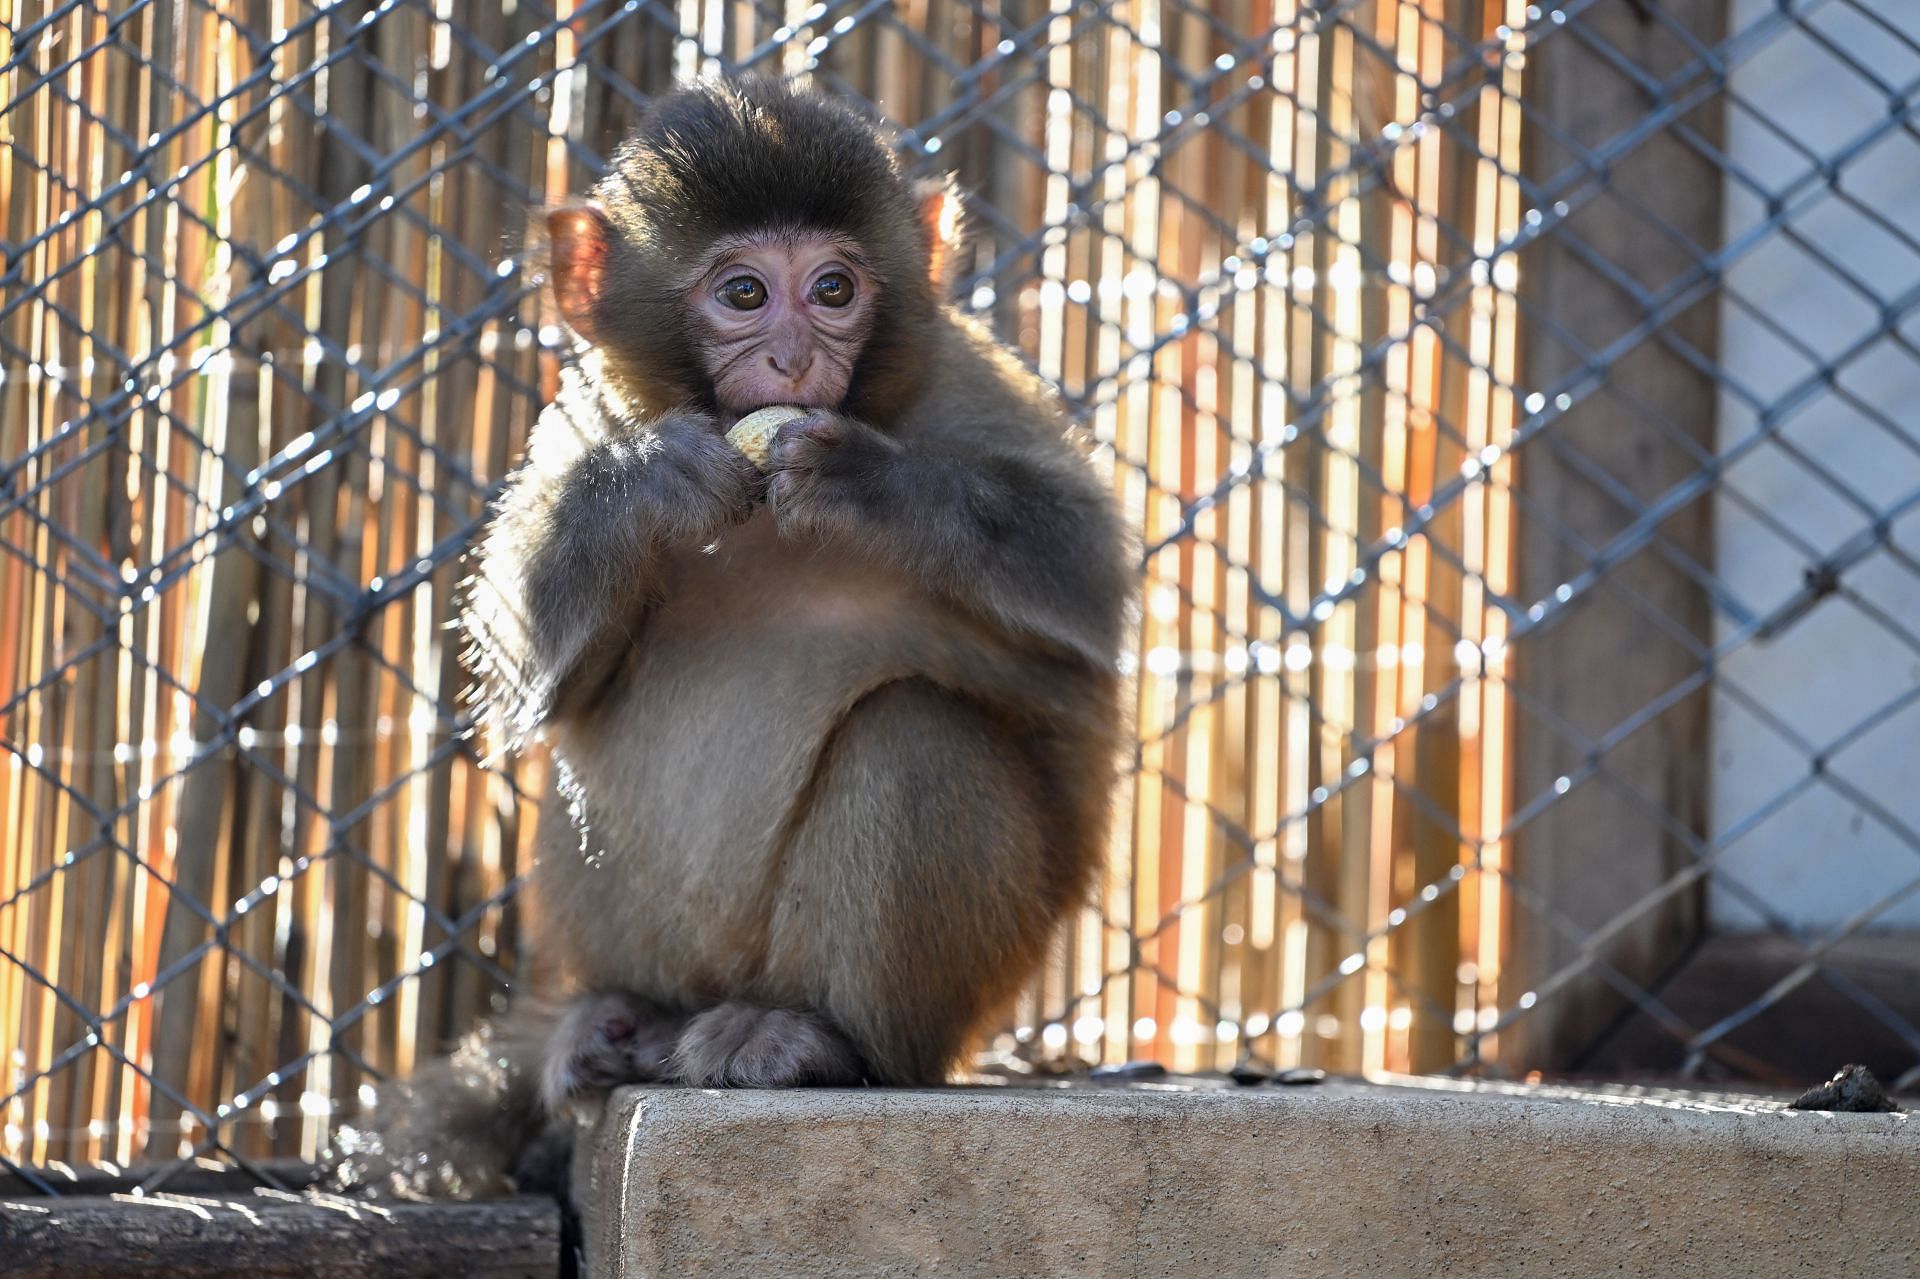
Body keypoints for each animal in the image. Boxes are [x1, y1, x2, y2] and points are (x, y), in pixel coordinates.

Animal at [322, 77, 1128, 1198]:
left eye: (833, 288)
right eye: (745, 295)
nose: (794, 357)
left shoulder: (966, 382)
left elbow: (1084, 579)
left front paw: (870, 483)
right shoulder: (585, 412)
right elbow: (522, 676)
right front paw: (648, 483)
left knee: (914, 735)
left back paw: (815, 1039)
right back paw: (625, 1021)